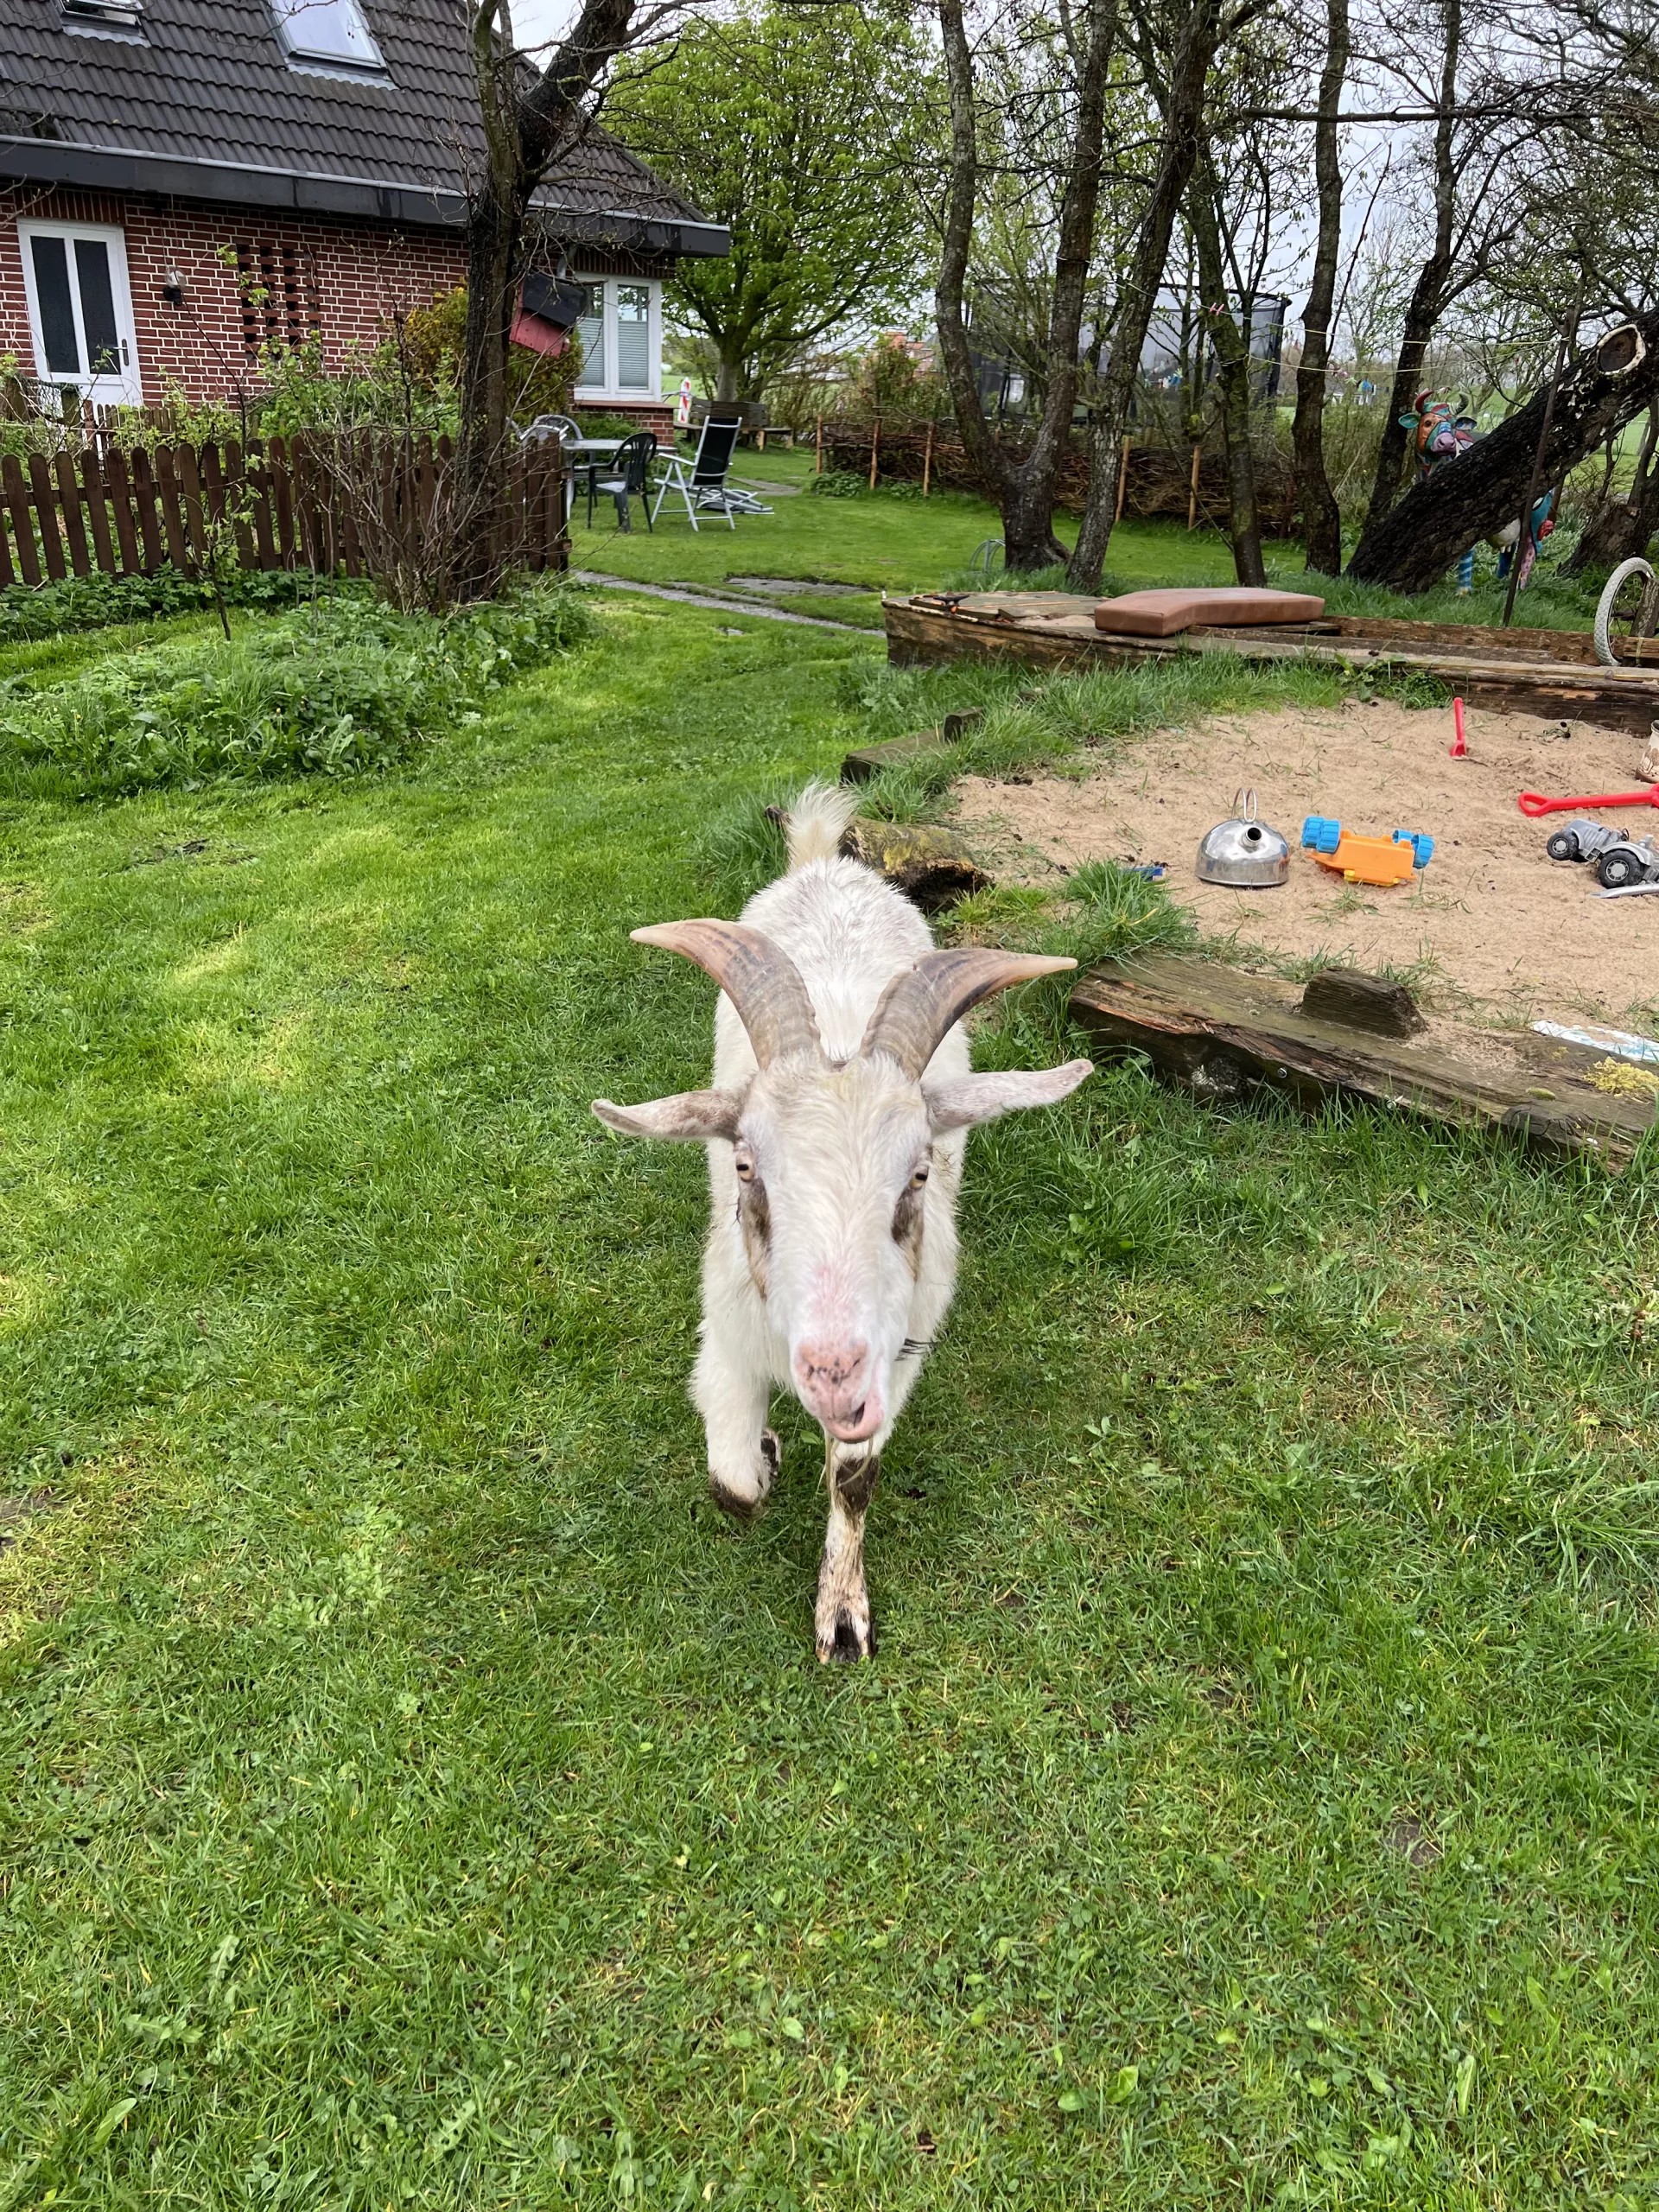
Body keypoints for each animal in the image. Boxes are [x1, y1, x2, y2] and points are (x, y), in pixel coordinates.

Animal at [593, 784, 1092, 1660]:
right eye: (746, 1167)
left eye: (920, 1171)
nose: (831, 1372)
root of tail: (827, 863)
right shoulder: (725, 1333)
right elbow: (734, 1486)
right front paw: (763, 1452)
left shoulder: (897, 1351)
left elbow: (854, 1479)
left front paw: (843, 1613)